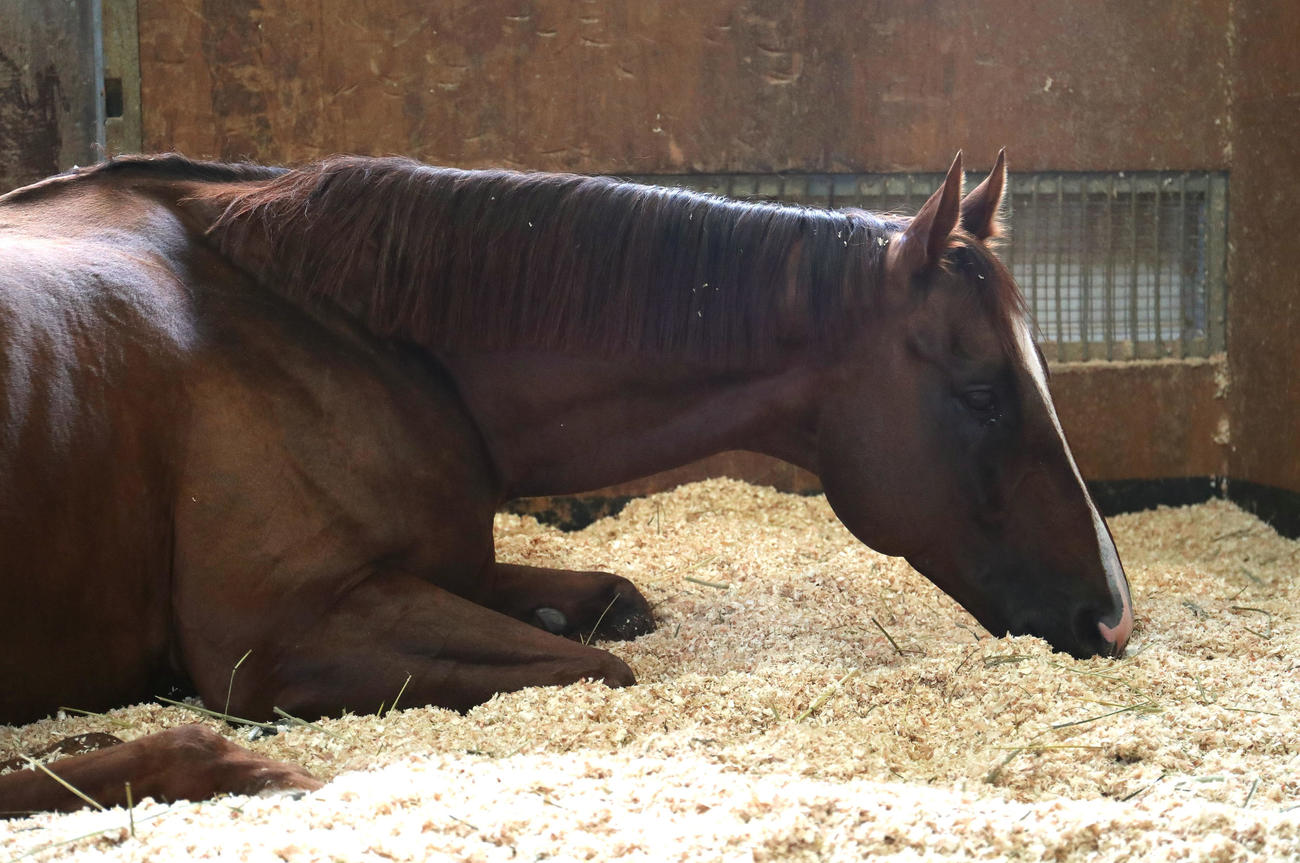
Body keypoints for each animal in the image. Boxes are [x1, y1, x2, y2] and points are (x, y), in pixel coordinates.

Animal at [0, 150, 1132, 814]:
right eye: (983, 392)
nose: (1112, 615)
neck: (342, 330)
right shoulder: (285, 635)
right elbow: (599, 665)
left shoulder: (449, 568)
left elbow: (612, 606)